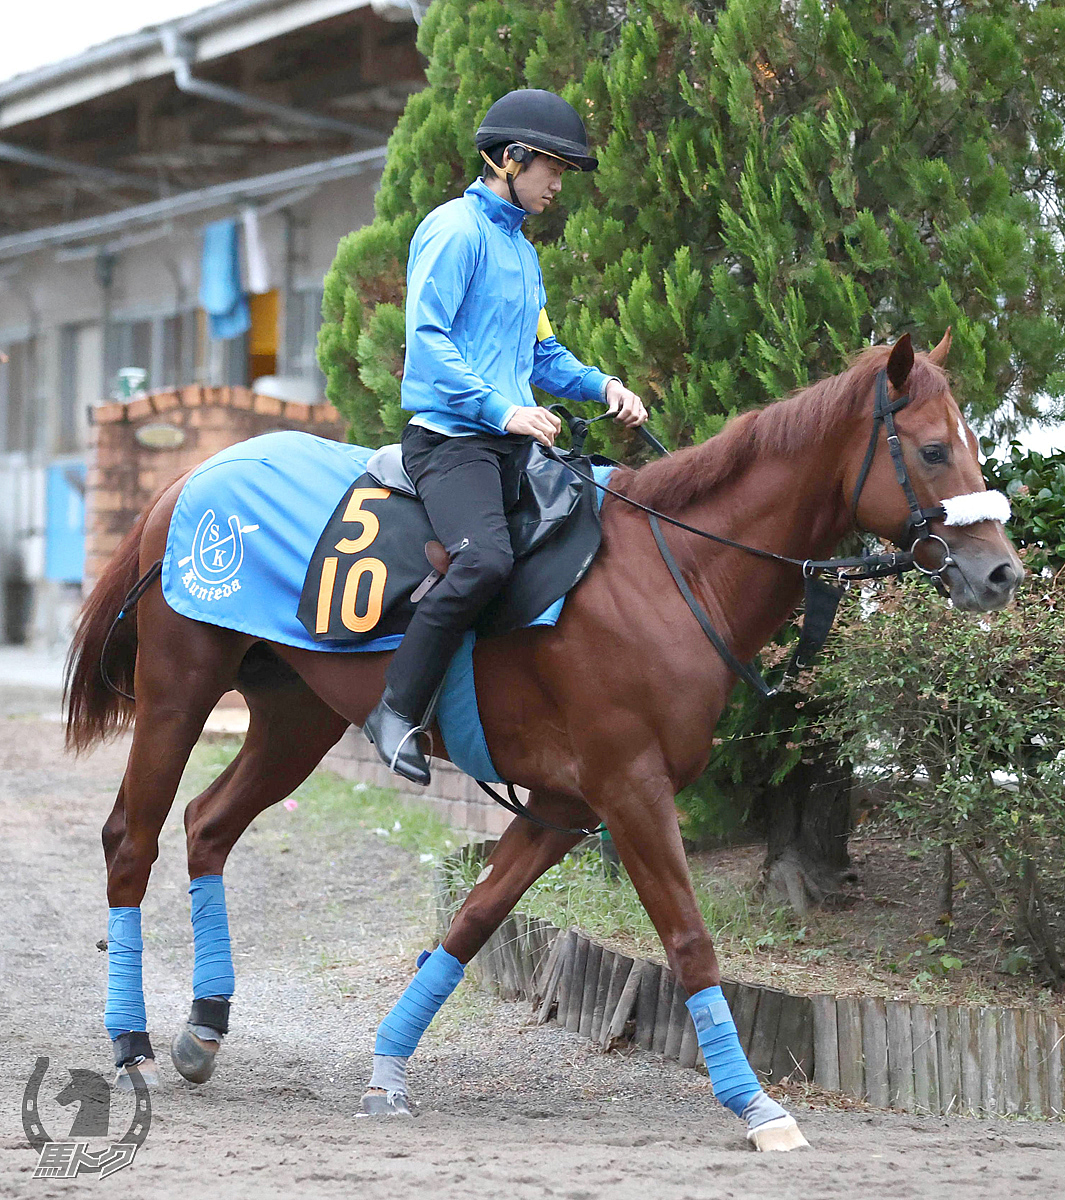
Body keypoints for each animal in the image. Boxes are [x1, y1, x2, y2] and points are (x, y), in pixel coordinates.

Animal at [68, 331, 1021, 1152]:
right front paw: (755, 1106)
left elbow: (472, 921)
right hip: (179, 692)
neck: (672, 572)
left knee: (209, 825)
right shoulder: (628, 789)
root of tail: (187, 480)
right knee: (131, 839)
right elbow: (689, 941)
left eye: (970, 444)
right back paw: (131, 1043)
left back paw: (203, 1029)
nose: (1001, 572)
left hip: (295, 716)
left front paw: (387, 1070)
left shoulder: (563, 804)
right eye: (931, 451)